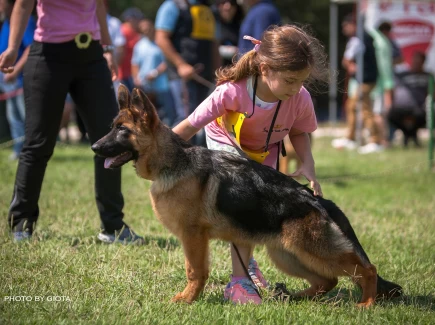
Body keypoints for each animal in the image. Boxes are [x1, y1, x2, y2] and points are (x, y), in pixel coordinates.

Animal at [92, 86, 402, 306]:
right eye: (112, 127)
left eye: (122, 130)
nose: (94, 147)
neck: (173, 162)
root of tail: (317, 199)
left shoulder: (193, 237)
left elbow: (194, 271)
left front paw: (187, 299)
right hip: (287, 253)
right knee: (328, 281)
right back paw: (293, 298)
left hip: (313, 249)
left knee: (366, 269)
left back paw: (366, 304)